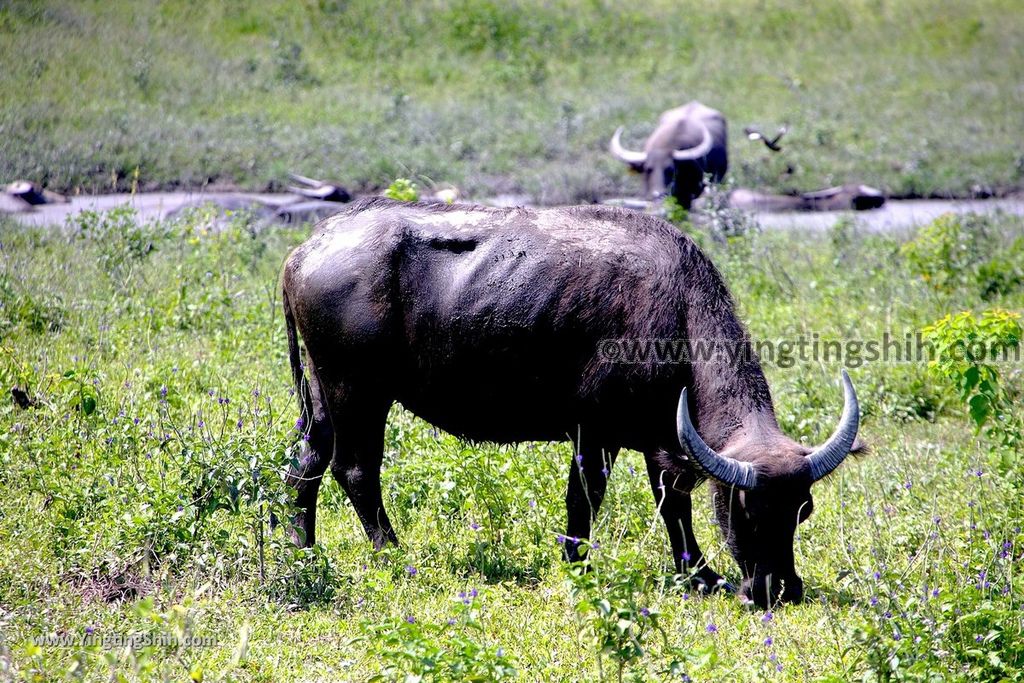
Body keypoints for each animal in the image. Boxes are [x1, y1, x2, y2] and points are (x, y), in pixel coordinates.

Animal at [280, 197, 864, 610]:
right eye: (741, 507)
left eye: (803, 509)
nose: (777, 590)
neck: (673, 315)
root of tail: (305, 250)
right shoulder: (594, 432)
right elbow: (587, 499)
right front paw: (579, 563)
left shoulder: (660, 440)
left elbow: (670, 502)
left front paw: (695, 573)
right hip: (358, 390)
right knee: (356, 469)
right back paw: (394, 554)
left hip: (323, 393)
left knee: (305, 464)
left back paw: (301, 550)